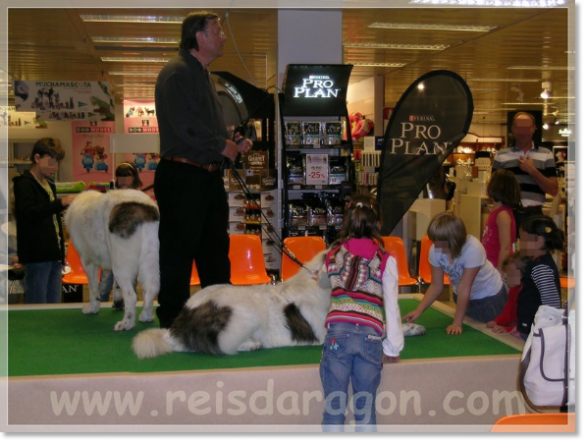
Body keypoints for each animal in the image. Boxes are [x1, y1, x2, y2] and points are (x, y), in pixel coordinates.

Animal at [65, 189, 160, 332]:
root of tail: (143, 208)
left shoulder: (87, 261)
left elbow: (93, 288)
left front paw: (92, 308)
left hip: (121, 262)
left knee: (131, 295)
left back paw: (126, 323)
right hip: (150, 257)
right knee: (151, 287)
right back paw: (146, 316)